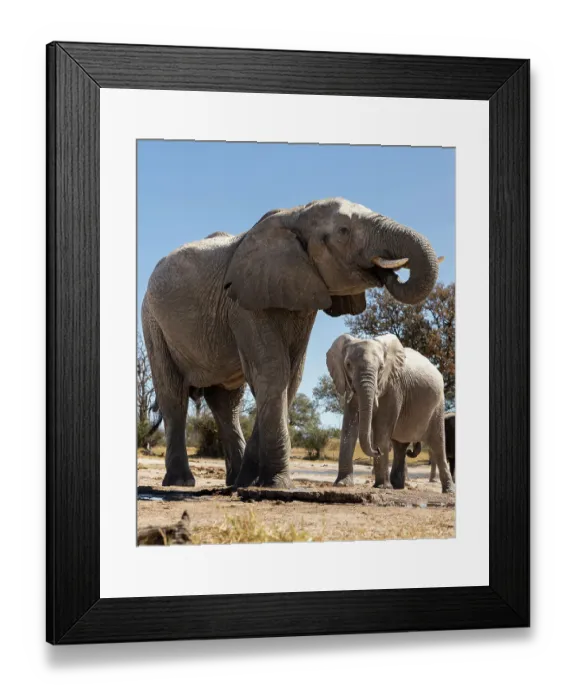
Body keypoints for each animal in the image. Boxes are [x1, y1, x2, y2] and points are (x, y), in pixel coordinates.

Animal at [142, 197, 443, 488]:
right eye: (343, 231)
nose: (390, 272)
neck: (295, 214)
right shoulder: (244, 303)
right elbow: (274, 371)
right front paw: (276, 484)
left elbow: (291, 377)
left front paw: (254, 481)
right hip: (152, 322)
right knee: (173, 396)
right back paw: (181, 482)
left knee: (226, 404)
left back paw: (235, 480)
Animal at [326, 333, 455, 493]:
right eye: (348, 365)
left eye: (381, 367)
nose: (377, 450)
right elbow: (349, 427)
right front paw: (342, 484)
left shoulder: (394, 386)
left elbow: (381, 429)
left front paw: (382, 486)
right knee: (400, 446)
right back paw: (397, 486)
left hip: (439, 404)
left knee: (438, 444)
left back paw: (448, 491)